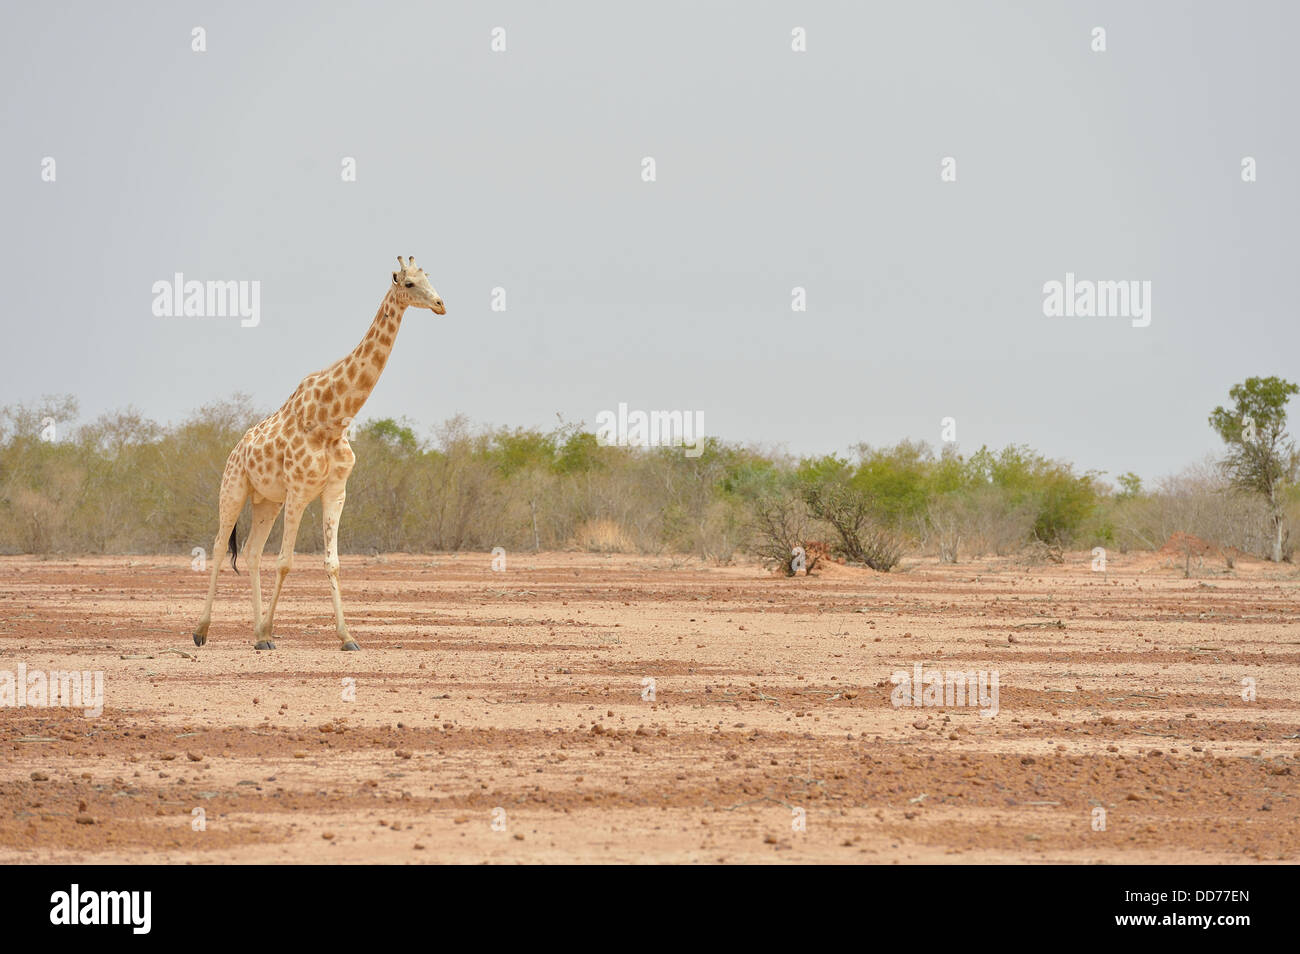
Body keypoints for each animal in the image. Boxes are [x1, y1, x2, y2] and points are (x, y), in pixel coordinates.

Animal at [191, 257, 447, 655]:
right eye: (408, 283)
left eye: (428, 278)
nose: (440, 304)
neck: (334, 418)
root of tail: (235, 449)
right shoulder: (299, 489)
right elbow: (285, 562)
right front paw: (271, 631)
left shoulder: (335, 490)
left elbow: (333, 563)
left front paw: (347, 637)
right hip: (233, 488)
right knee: (219, 548)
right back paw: (202, 631)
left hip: (267, 500)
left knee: (250, 552)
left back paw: (256, 633)